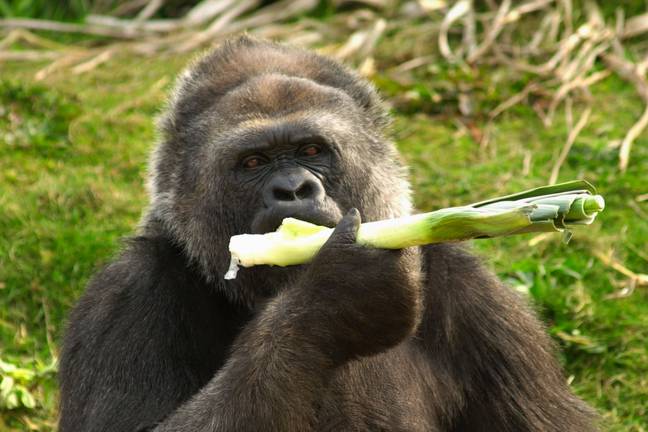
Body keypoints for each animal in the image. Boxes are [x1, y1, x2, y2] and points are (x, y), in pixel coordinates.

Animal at [59, 35, 596, 430]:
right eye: (252, 162)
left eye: (312, 150)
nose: (293, 189)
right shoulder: (127, 294)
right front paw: (334, 298)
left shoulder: (484, 303)